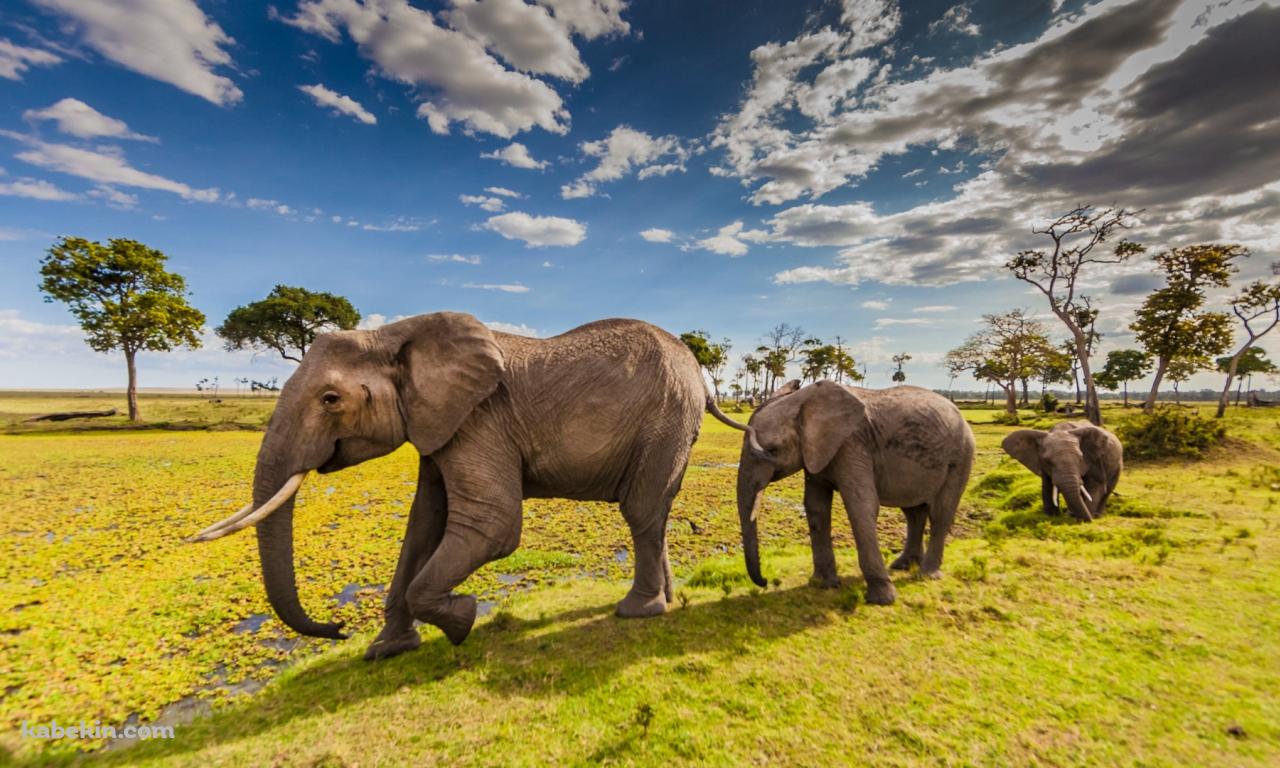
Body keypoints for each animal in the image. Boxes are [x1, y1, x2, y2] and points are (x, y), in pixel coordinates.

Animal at [190, 312, 755, 660]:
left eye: (330, 400)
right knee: (655, 514)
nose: (337, 629)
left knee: (640, 511)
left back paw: (637, 611)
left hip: (665, 420)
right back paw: (665, 602)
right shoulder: (438, 424)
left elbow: (492, 524)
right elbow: (423, 523)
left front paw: (462, 622)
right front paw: (385, 651)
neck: (392, 334)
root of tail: (700, 375)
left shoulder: (480, 419)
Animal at [723, 380, 975, 605]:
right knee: (913, 512)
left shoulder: (852, 444)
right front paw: (822, 585)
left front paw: (882, 600)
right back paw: (902, 566)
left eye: (773, 450)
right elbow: (815, 507)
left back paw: (926, 575)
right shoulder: (817, 452)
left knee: (940, 513)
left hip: (962, 455)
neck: (803, 401)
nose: (765, 581)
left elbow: (861, 505)